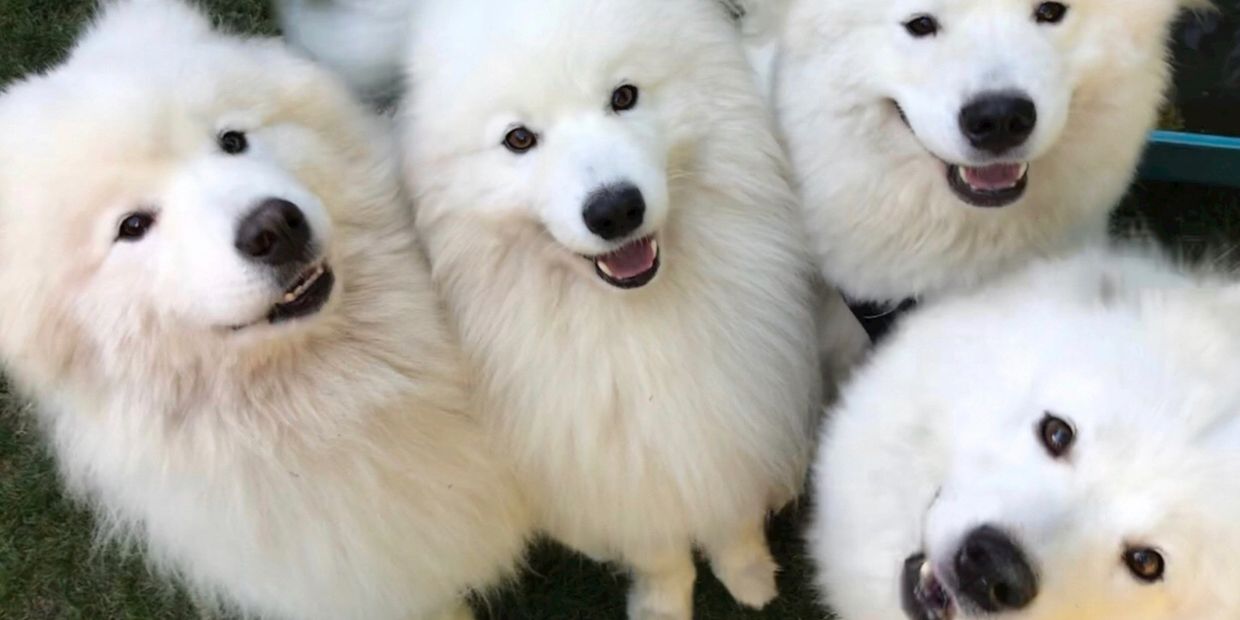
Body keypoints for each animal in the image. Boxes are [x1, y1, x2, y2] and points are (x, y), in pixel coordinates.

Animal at [286, 0, 833, 615]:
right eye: (519, 138)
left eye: (624, 96)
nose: (615, 210)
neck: (637, 319)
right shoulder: (614, 463)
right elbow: (660, 553)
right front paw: (664, 604)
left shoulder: (742, 417)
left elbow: (732, 519)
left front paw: (749, 575)